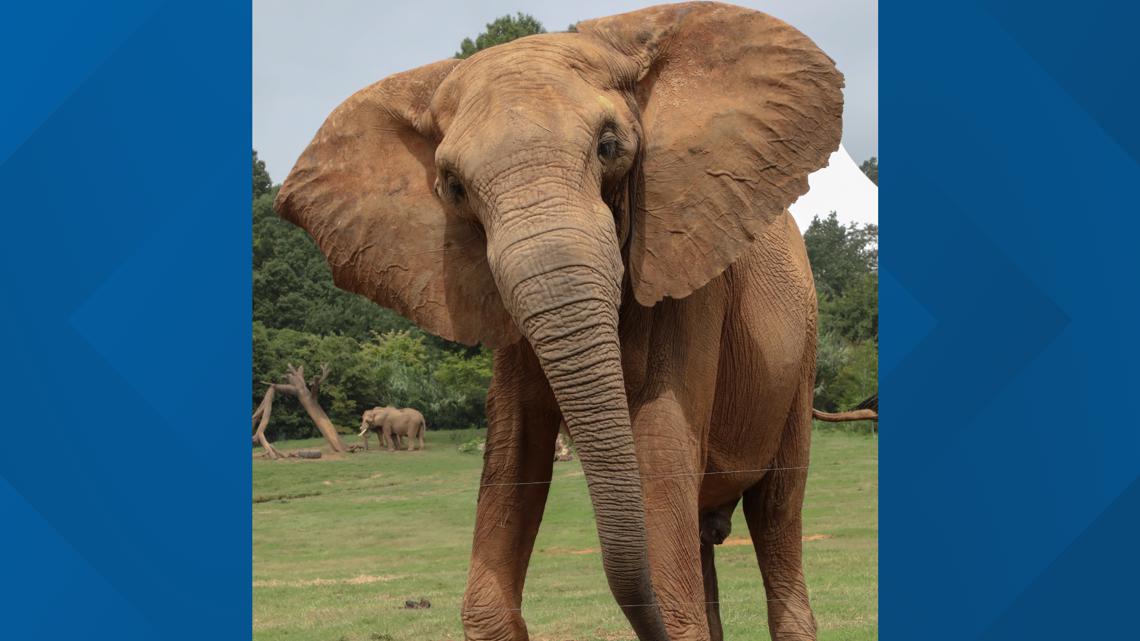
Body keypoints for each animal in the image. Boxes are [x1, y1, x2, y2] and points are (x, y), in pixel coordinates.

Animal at [273, 2, 848, 634]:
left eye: (608, 146)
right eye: (453, 187)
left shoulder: (689, 271)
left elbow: (660, 443)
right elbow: (514, 447)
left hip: (801, 357)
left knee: (778, 513)